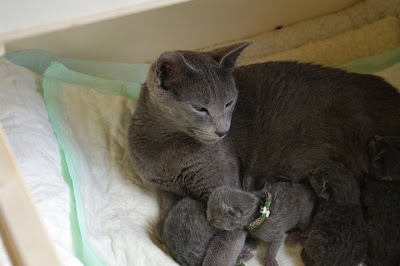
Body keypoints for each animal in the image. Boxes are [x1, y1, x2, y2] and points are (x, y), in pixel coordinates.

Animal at [128, 42, 400, 264]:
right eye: (199, 108)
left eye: (229, 103)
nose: (223, 131)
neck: (168, 146)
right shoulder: (163, 188)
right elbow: (162, 225)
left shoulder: (226, 192)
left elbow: (222, 248)